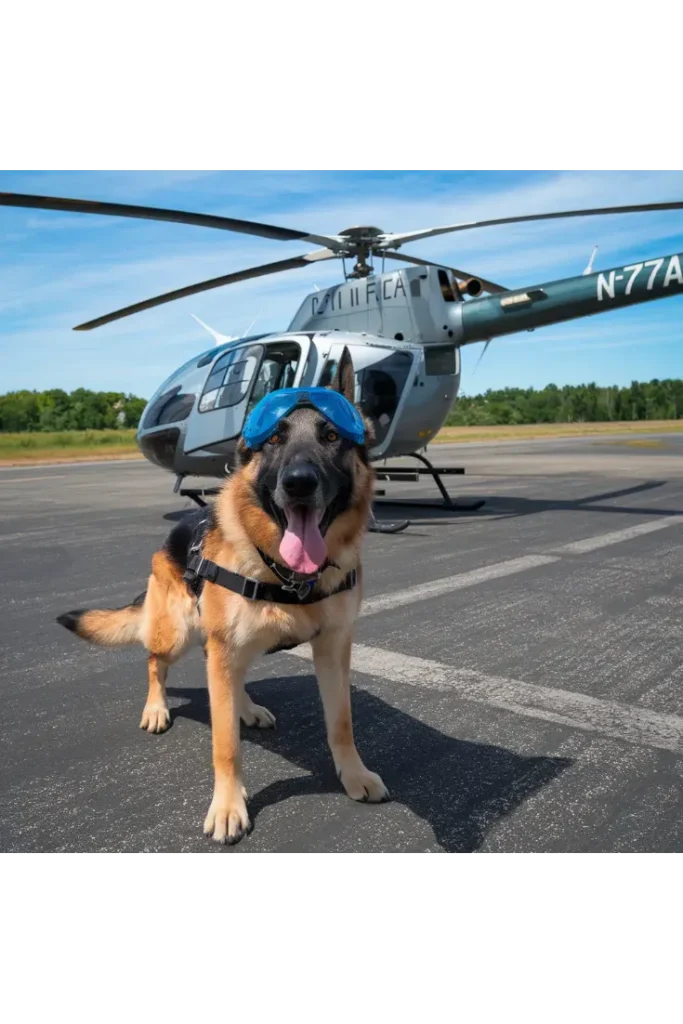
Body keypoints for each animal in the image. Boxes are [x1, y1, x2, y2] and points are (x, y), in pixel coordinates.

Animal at [55, 348, 389, 843]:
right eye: (274, 439)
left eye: (331, 435)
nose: (299, 482)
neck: (285, 573)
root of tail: (171, 536)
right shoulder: (227, 651)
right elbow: (225, 744)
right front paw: (229, 807)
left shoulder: (333, 648)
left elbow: (342, 723)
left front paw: (353, 775)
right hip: (177, 635)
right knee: (155, 663)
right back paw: (157, 708)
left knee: (228, 680)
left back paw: (245, 707)